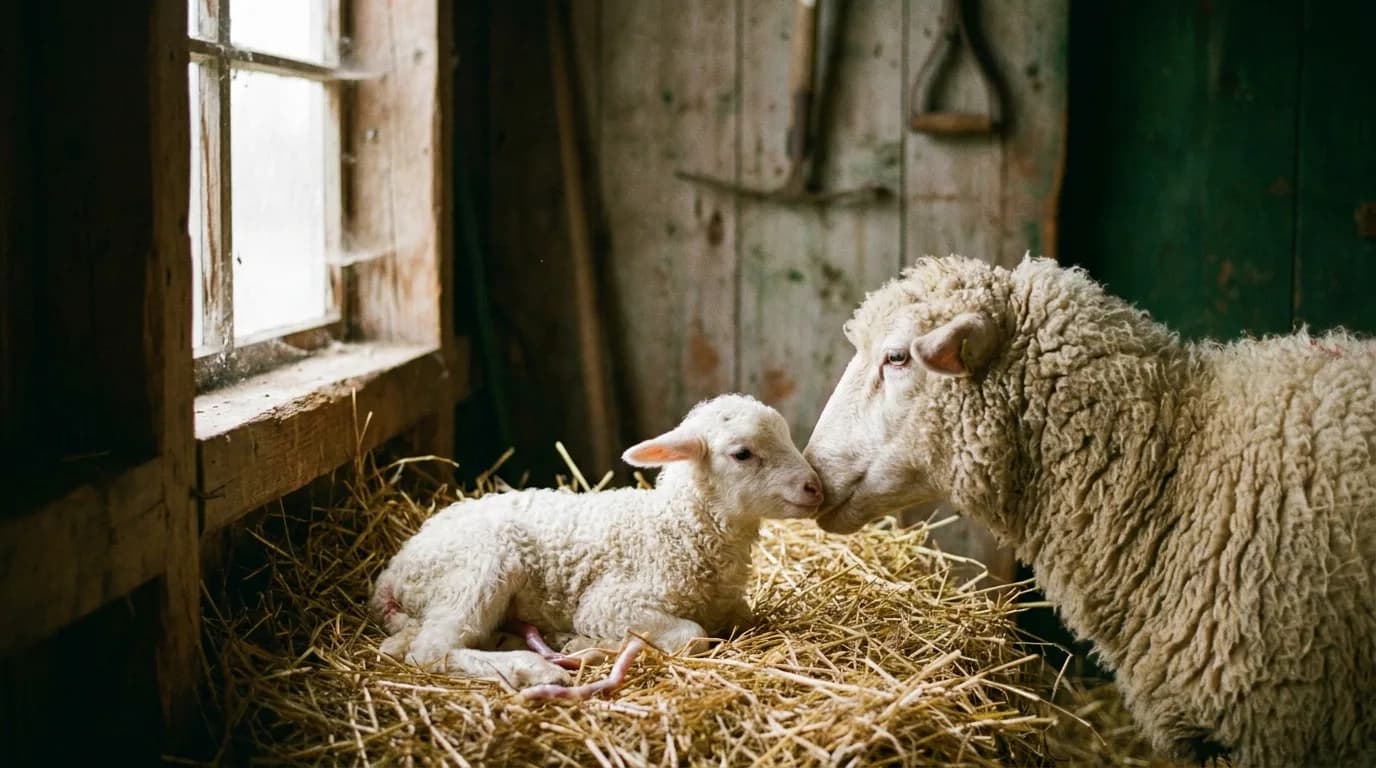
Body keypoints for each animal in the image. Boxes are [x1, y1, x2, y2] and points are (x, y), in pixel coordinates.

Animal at [370, 393, 823, 700]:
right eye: (742, 453)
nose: (814, 487)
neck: (675, 531)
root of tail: (394, 571)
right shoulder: (610, 604)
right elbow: (693, 634)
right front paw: (589, 646)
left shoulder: (733, 609)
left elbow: (738, 621)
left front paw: (581, 645)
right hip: (478, 568)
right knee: (430, 650)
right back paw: (531, 670)